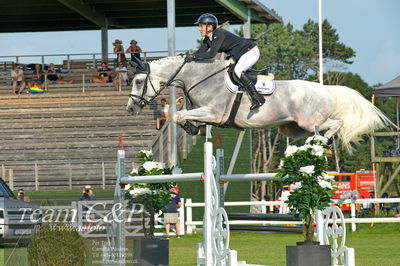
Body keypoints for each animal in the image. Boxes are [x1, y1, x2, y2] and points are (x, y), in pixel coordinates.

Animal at [126, 55, 392, 152]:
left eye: (138, 81)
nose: (130, 109)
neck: (201, 77)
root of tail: (326, 89)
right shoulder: (202, 112)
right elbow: (183, 116)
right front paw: (192, 128)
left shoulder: (213, 113)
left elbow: (177, 116)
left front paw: (189, 126)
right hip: (292, 128)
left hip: (309, 122)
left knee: (333, 125)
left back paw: (320, 144)